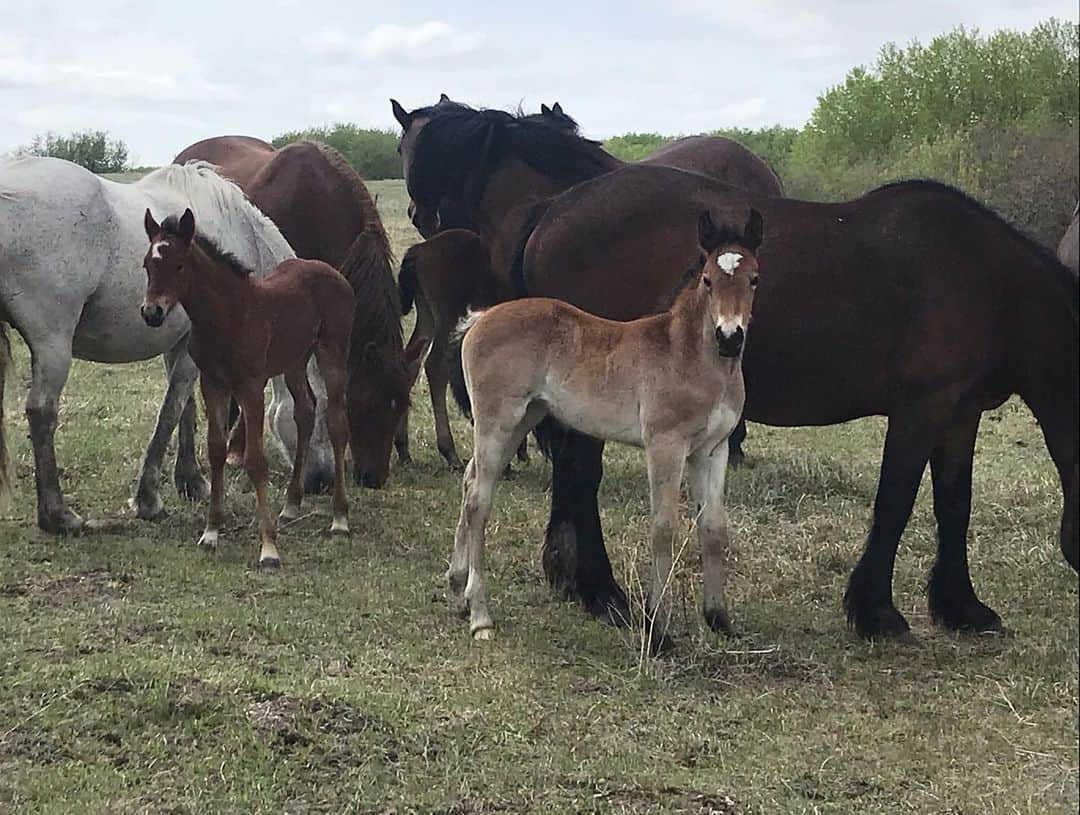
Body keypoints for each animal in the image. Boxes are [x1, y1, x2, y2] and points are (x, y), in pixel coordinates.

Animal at [141, 207, 352, 569]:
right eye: (147, 265)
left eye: (179, 265)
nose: (152, 312)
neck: (229, 315)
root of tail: (330, 271)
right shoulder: (213, 384)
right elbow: (215, 449)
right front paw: (211, 532)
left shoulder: (251, 386)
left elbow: (256, 460)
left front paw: (269, 549)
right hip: (294, 360)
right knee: (305, 412)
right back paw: (291, 504)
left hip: (332, 354)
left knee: (337, 423)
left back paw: (339, 518)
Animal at [451, 210, 764, 652]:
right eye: (707, 279)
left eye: (754, 279)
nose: (730, 337)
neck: (690, 355)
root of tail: (481, 318)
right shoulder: (665, 444)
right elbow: (664, 528)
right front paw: (658, 630)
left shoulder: (713, 449)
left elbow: (714, 528)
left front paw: (719, 619)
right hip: (498, 421)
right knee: (479, 501)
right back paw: (480, 615)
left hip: (523, 419)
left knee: (470, 479)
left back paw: (458, 585)